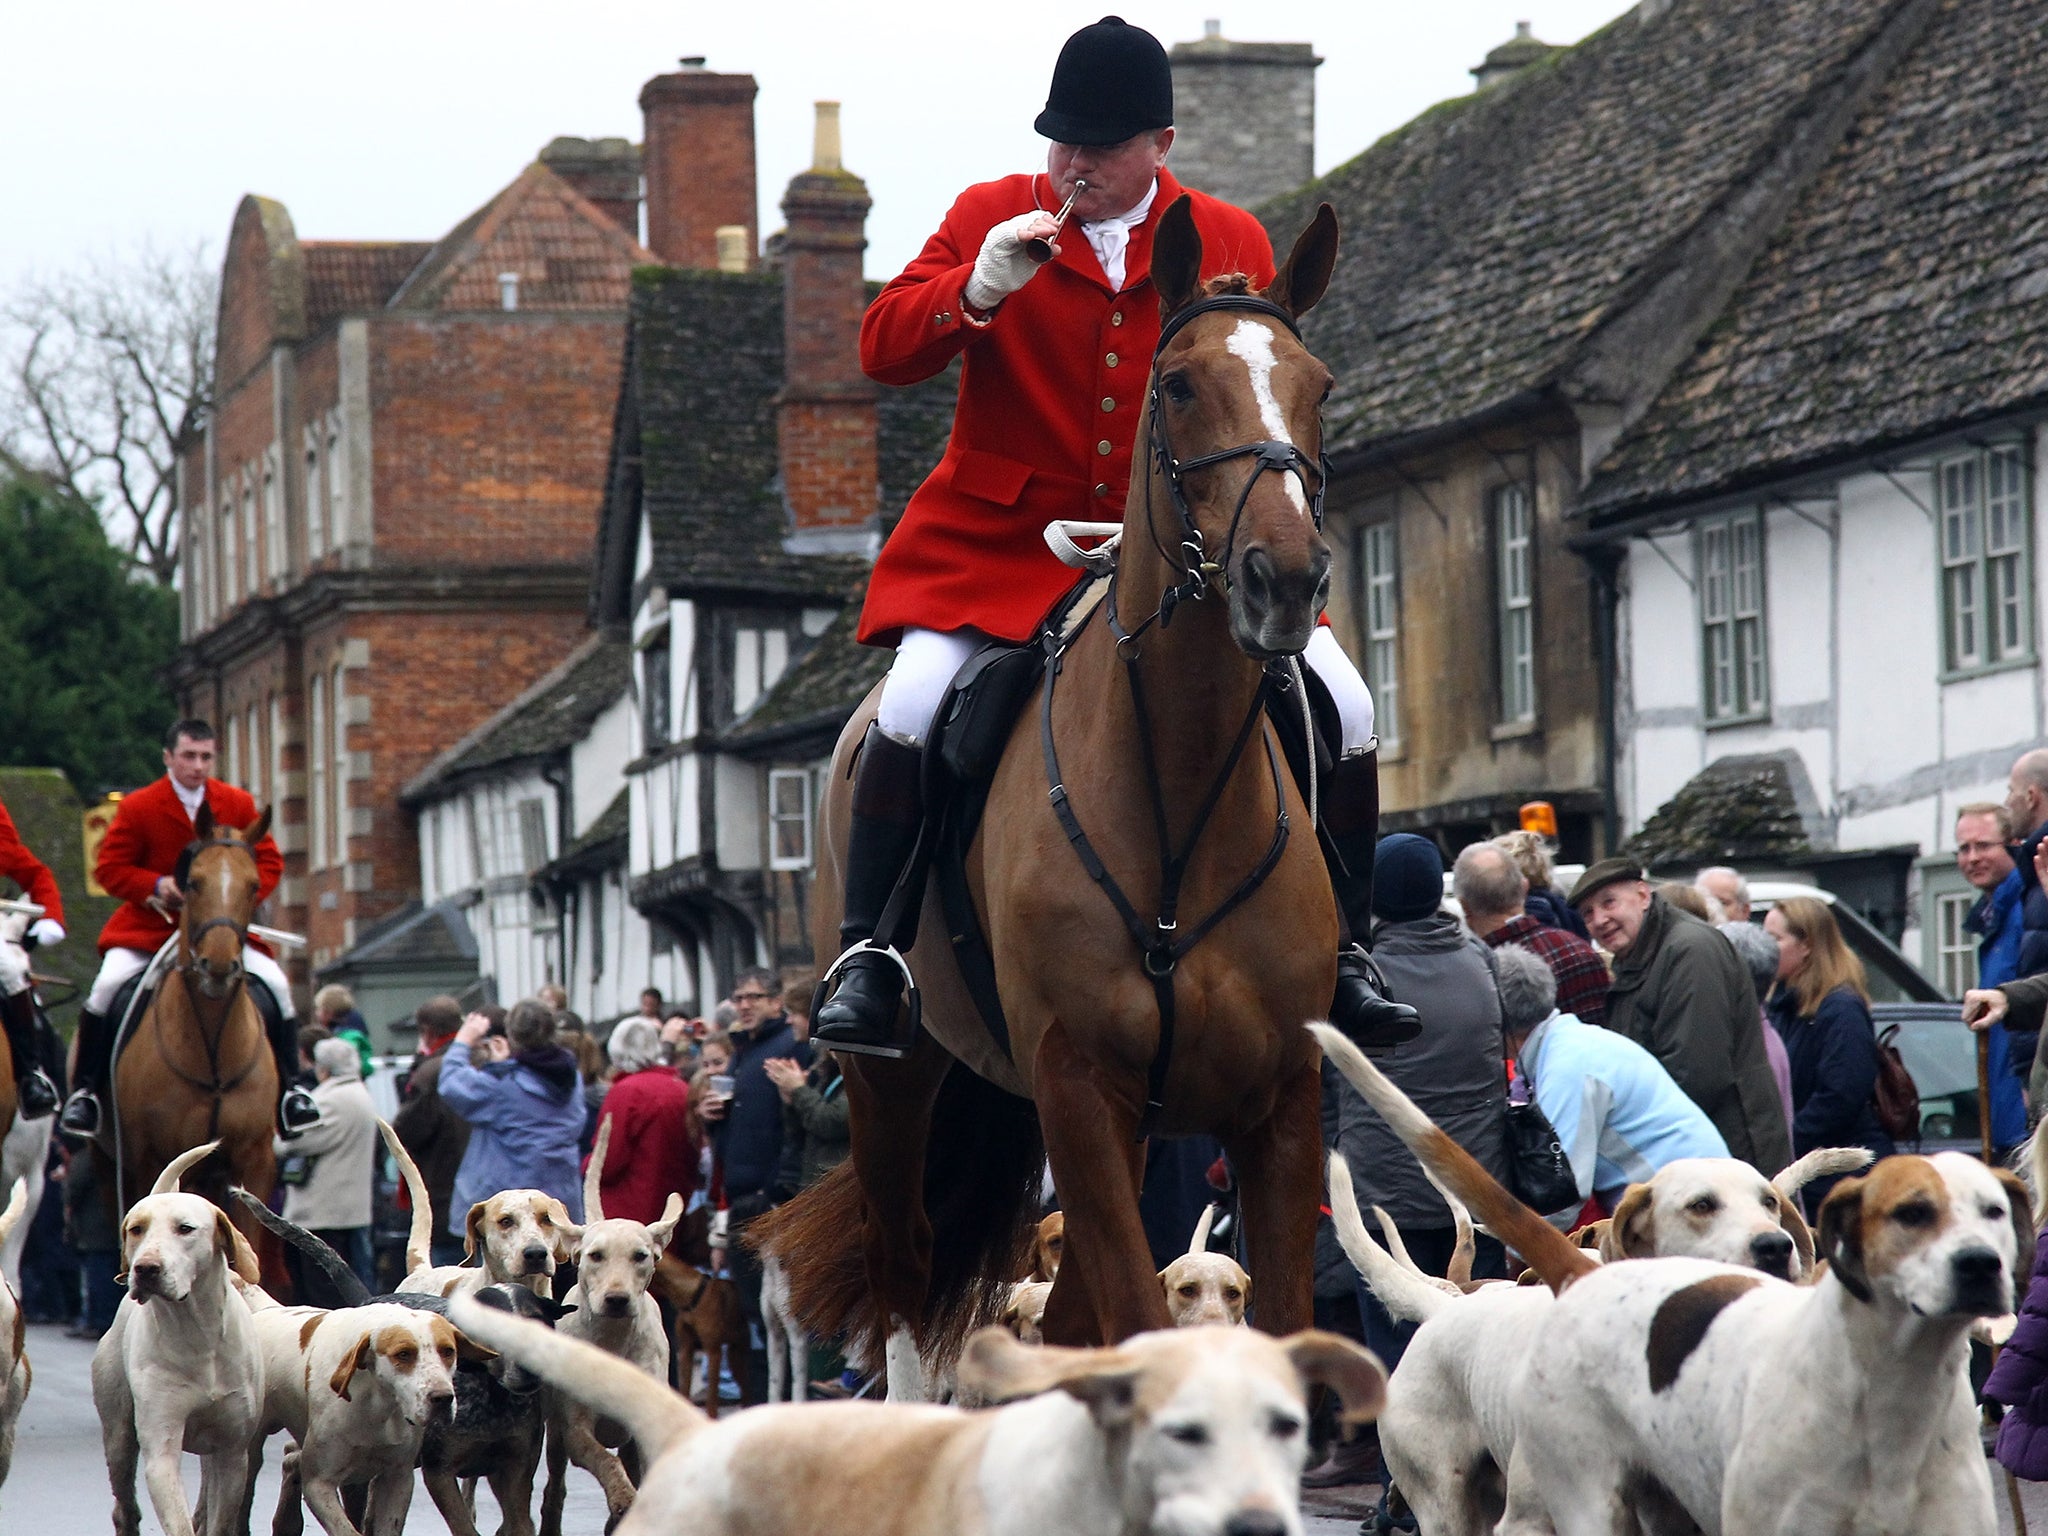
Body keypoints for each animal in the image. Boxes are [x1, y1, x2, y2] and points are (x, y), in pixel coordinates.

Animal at [101, 806, 278, 1253]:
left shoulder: (254, 1160)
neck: (213, 1053)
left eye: (254, 886)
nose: (218, 966)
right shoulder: (152, 1160)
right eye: (194, 882)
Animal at [761, 195, 1351, 1368]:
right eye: (1180, 386)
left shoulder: (1279, 1102)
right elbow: (1131, 1319)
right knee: (905, 1273)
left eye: (1315, 385)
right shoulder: (1078, 1089)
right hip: (895, 1084)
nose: (1285, 581)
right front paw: (1001, 267)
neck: (1178, 795)